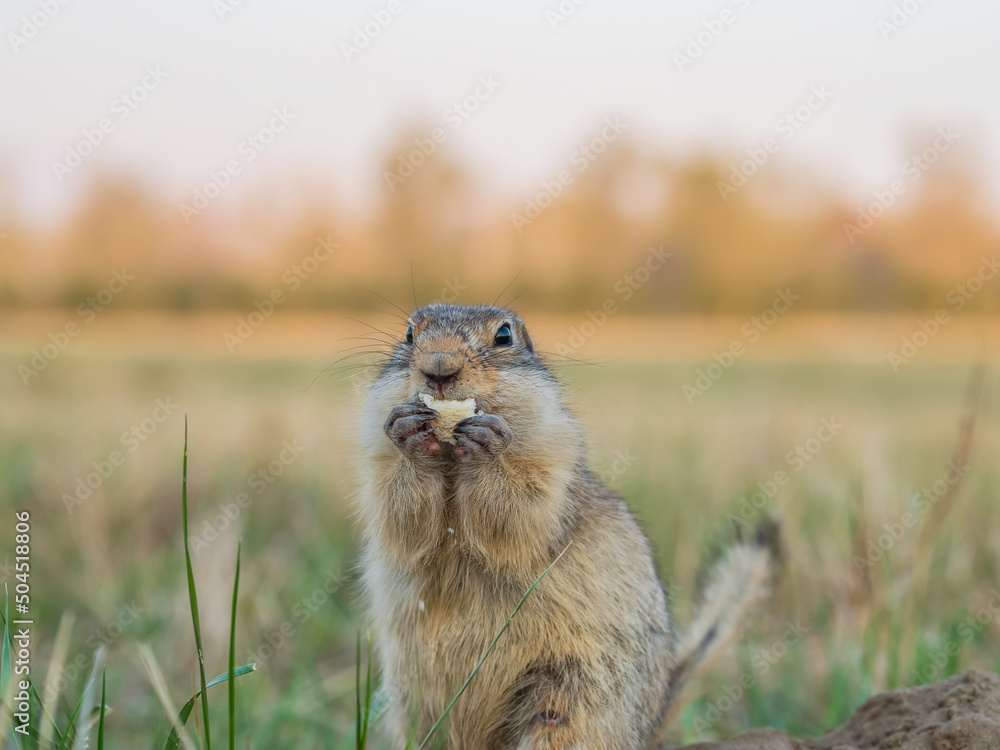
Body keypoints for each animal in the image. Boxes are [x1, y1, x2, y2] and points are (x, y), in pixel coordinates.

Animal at [358, 302, 780, 748]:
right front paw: (409, 434)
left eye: (504, 335)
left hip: (570, 703)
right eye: (408, 333)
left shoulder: (552, 459)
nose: (438, 368)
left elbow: (521, 509)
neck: (452, 462)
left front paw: (488, 445)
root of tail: (652, 721)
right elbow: (399, 515)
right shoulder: (375, 459)